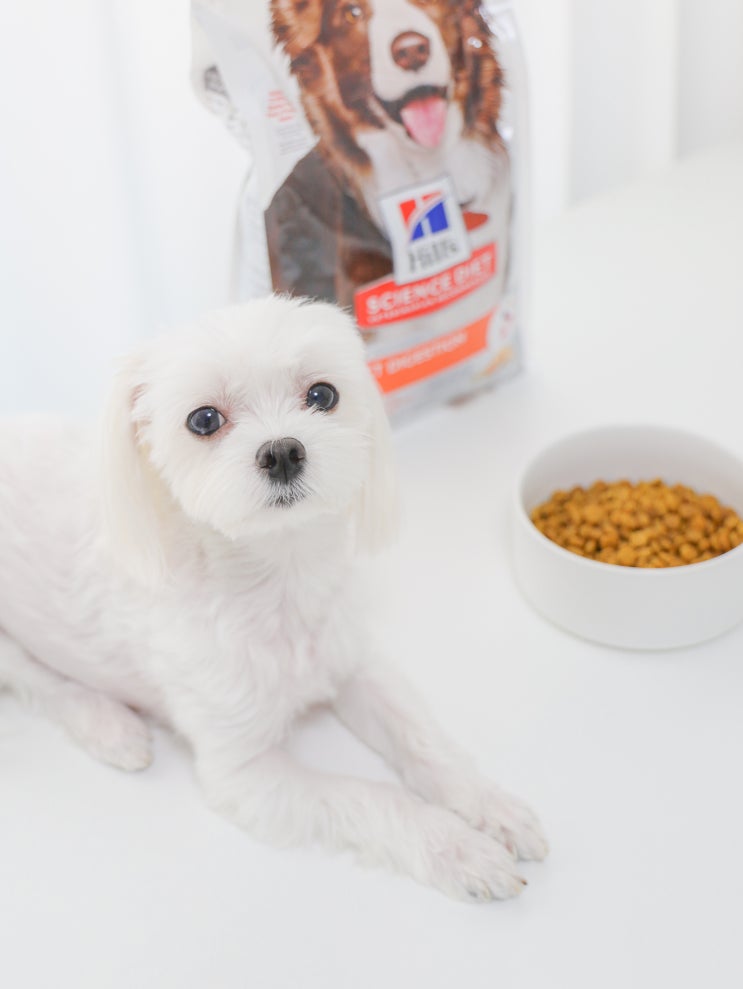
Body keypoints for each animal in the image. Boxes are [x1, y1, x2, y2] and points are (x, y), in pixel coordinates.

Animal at [0, 296, 545, 900]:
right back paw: (109, 727)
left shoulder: (354, 666)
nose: (282, 450)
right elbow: (372, 796)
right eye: (204, 420)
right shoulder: (247, 774)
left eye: (323, 394)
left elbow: (421, 740)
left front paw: (489, 804)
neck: (278, 584)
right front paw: (458, 849)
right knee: (38, 681)